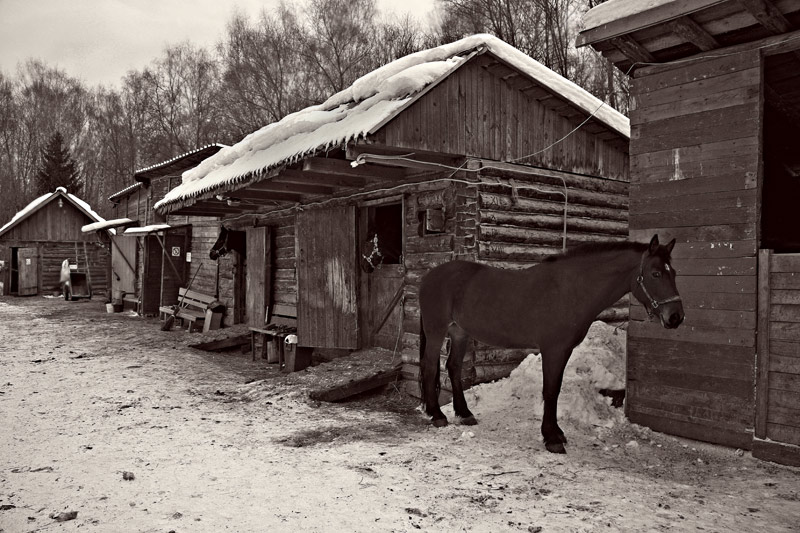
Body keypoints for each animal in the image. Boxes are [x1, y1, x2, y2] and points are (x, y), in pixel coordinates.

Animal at [416, 234, 684, 454]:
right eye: (656, 274)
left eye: (674, 273)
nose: (676, 317)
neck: (570, 289)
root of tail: (429, 276)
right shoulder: (553, 350)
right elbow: (551, 391)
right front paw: (551, 438)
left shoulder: (563, 351)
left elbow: (555, 389)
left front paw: (556, 433)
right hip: (437, 330)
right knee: (430, 366)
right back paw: (437, 415)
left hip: (459, 332)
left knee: (453, 367)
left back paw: (465, 414)